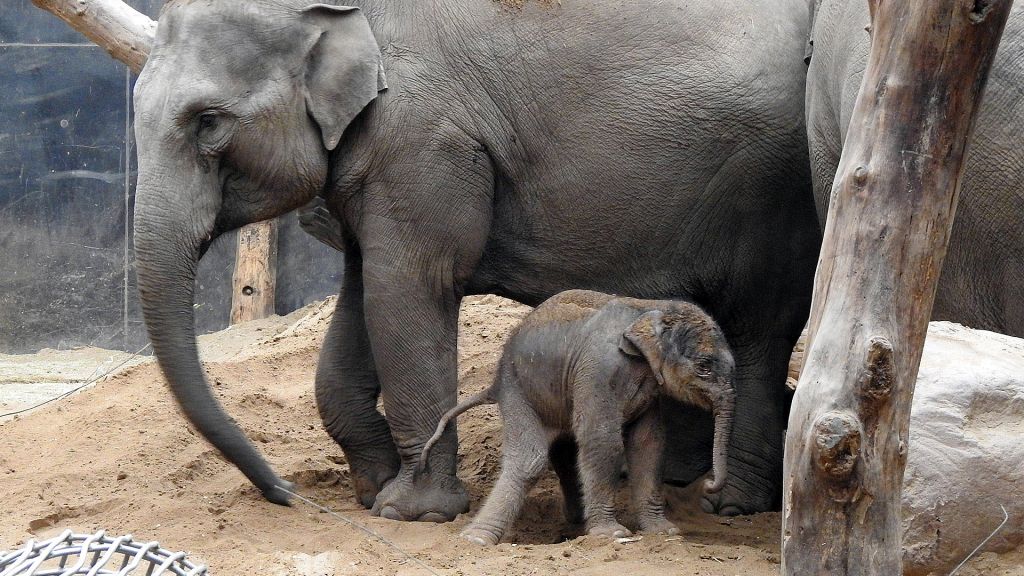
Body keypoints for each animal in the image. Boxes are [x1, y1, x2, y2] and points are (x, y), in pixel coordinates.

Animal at [417, 289, 737, 545]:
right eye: (704, 367)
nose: (708, 484)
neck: (648, 310)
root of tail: (494, 381)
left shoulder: (649, 389)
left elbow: (648, 444)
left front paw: (665, 532)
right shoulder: (599, 370)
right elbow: (602, 439)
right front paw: (613, 535)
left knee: (564, 451)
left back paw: (574, 521)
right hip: (518, 389)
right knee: (530, 459)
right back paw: (476, 540)